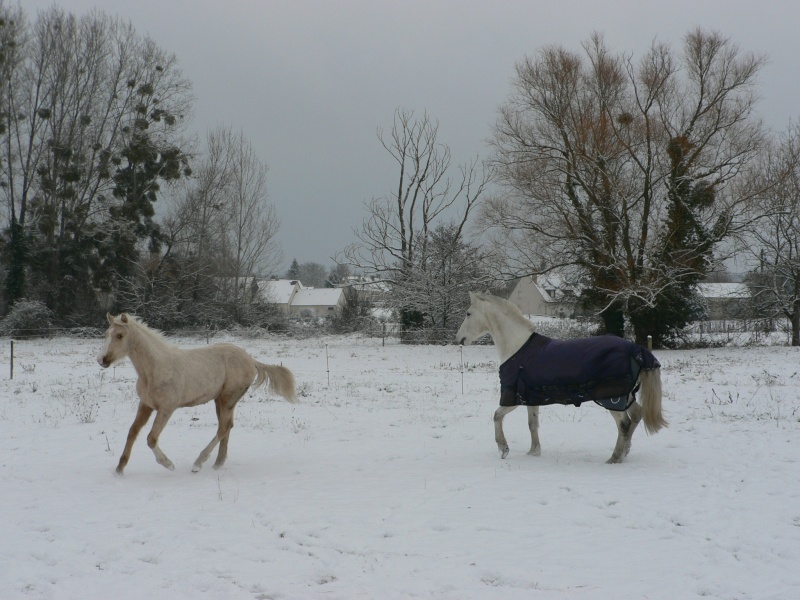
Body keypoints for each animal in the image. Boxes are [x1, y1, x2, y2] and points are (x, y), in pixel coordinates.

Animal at [97, 314, 296, 474]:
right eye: (106, 334)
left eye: (120, 335)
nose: (102, 360)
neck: (155, 370)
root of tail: (251, 360)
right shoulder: (145, 405)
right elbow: (132, 432)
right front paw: (119, 469)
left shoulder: (166, 409)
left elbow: (151, 438)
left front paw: (169, 464)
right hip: (220, 400)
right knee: (227, 427)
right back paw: (217, 464)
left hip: (228, 398)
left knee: (223, 428)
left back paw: (198, 464)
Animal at [454, 292, 664, 464]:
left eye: (468, 313)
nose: (458, 339)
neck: (517, 347)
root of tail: (635, 349)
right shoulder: (530, 397)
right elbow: (532, 424)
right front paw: (534, 452)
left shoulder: (512, 397)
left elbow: (497, 415)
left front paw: (503, 448)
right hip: (625, 396)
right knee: (636, 415)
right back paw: (625, 451)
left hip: (612, 398)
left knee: (624, 424)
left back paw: (615, 458)